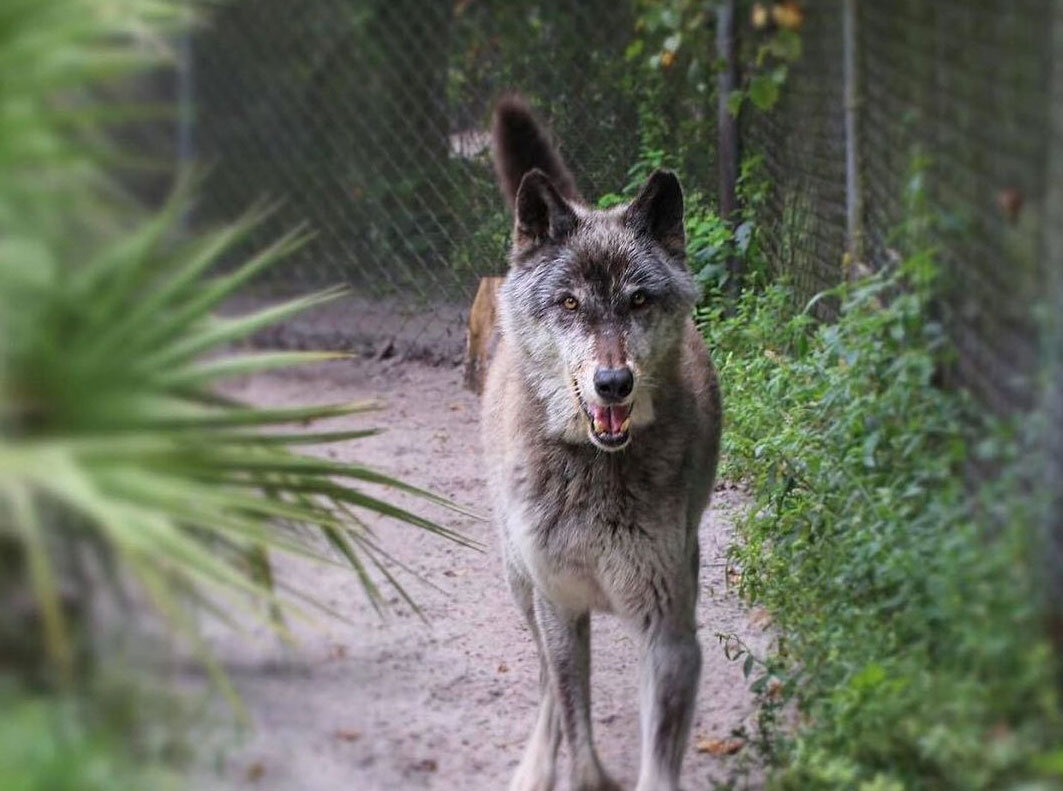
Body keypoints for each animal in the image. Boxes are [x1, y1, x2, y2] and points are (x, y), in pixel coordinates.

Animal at [482, 94, 722, 791]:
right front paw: (570, 771)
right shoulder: (560, 605)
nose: (613, 383)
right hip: (521, 584)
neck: (596, 471)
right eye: (568, 303)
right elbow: (577, 731)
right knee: (545, 689)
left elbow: (657, 763)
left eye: (638, 301)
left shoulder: (670, 633)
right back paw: (533, 768)